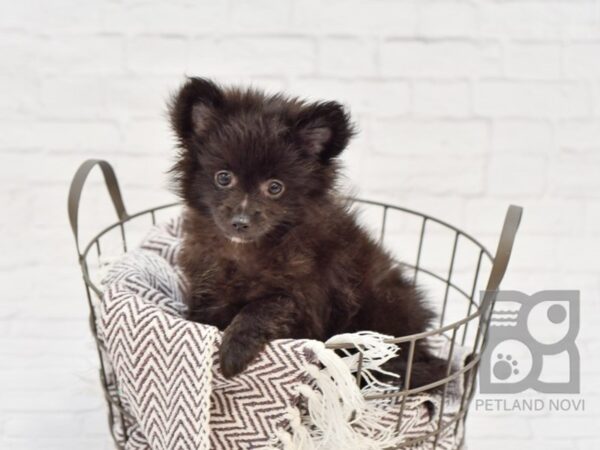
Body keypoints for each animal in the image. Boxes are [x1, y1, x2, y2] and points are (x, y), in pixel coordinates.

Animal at [168, 77, 446, 386]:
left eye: (275, 187)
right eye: (224, 178)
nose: (240, 221)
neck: (245, 249)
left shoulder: (307, 302)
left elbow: (267, 305)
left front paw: (233, 350)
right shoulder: (207, 286)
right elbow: (203, 316)